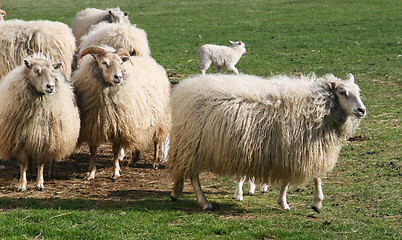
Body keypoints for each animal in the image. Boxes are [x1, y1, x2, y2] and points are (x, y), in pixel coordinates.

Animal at [0, 53, 80, 191]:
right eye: (36, 71)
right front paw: (22, 184)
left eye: (53, 72)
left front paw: (40, 183)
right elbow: (23, 161)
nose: (50, 86)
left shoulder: (46, 137)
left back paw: (52, 171)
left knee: (52, 155)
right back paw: (31, 171)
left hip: (57, 134)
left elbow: (41, 161)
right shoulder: (20, 137)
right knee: (29, 157)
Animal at [73, 46, 170, 179]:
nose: (118, 77)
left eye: (121, 63)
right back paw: (133, 160)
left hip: (158, 118)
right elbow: (93, 150)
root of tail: (152, 62)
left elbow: (115, 149)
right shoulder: (93, 125)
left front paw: (115, 172)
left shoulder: (119, 125)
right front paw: (91, 173)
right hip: (137, 120)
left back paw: (155, 162)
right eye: (104, 63)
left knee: (156, 141)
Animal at [168, 72, 366, 210]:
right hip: (192, 143)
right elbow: (301, 178)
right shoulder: (295, 150)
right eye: (342, 92)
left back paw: (176, 192)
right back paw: (204, 202)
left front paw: (312, 203)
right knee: (193, 176)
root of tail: (183, 88)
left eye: (358, 91)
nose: (362, 110)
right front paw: (296, 203)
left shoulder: (299, 150)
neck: (318, 107)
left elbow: (313, 177)